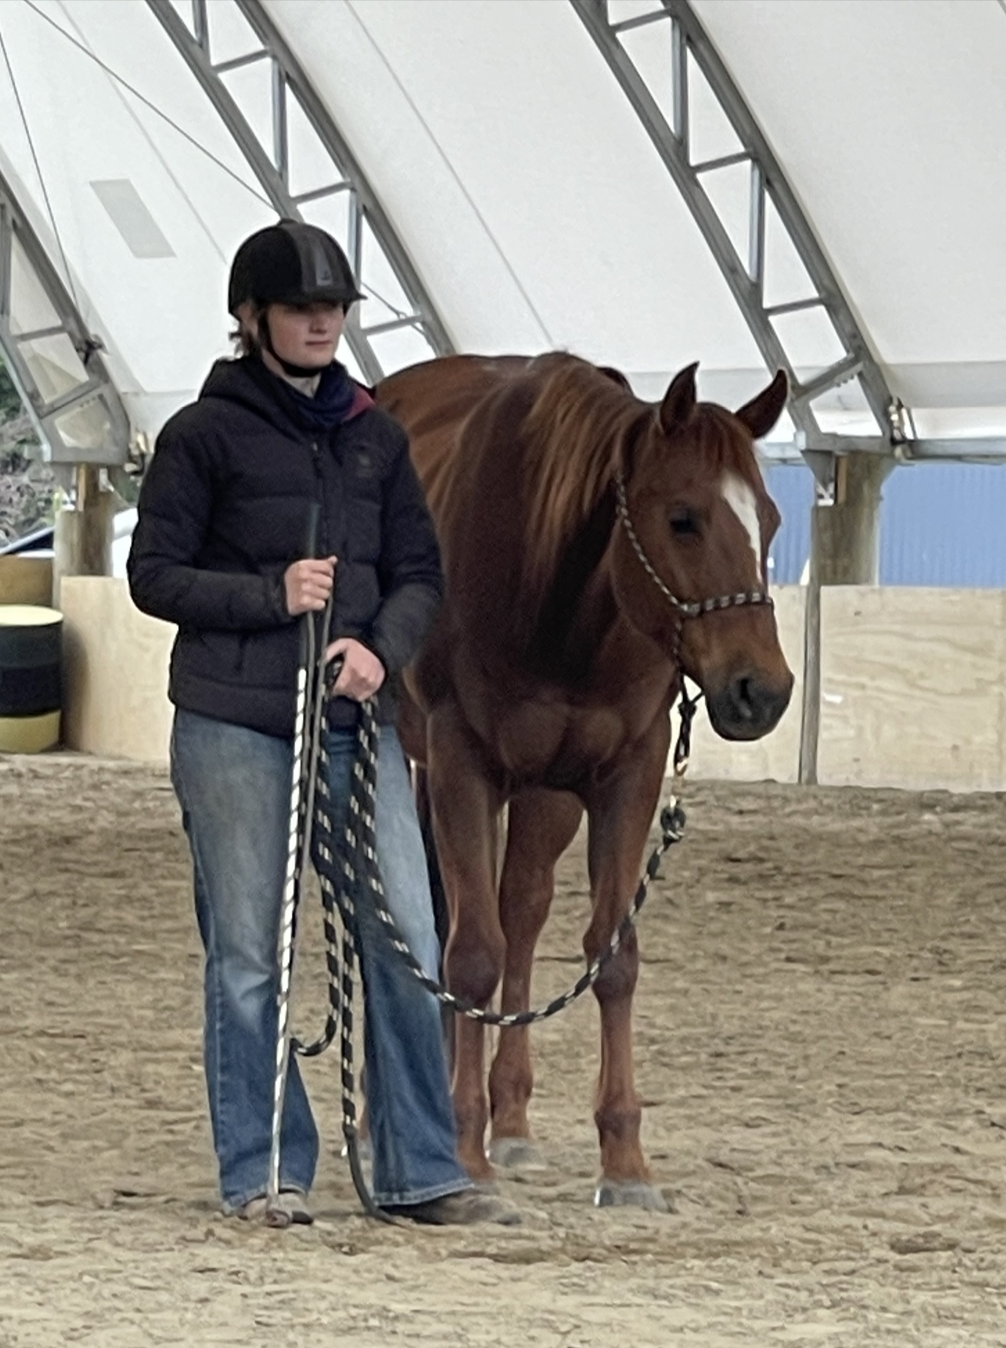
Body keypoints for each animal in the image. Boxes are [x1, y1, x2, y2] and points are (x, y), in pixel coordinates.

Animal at [375, 352, 793, 1210]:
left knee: (521, 910)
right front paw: (462, 1152)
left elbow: (612, 954)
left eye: (768, 519)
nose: (761, 690)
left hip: (545, 793)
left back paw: (511, 1122)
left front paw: (625, 1162)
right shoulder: (461, 762)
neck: (554, 592)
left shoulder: (627, 771)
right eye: (682, 518)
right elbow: (472, 955)